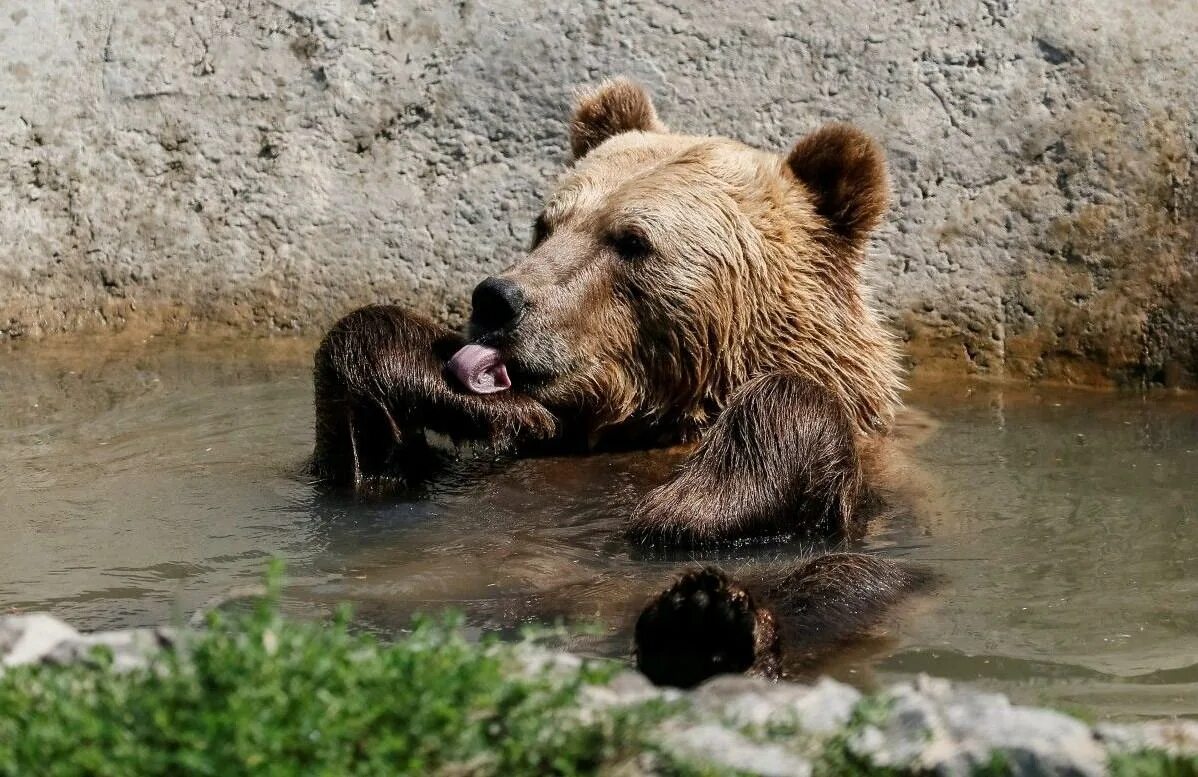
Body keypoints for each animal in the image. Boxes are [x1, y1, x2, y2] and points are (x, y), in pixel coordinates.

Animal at [309, 77, 924, 684]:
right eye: (546, 225)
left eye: (631, 241)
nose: (497, 299)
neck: (667, 414)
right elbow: (369, 464)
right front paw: (447, 389)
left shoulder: (880, 483)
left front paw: (696, 503)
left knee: (849, 578)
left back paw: (704, 626)